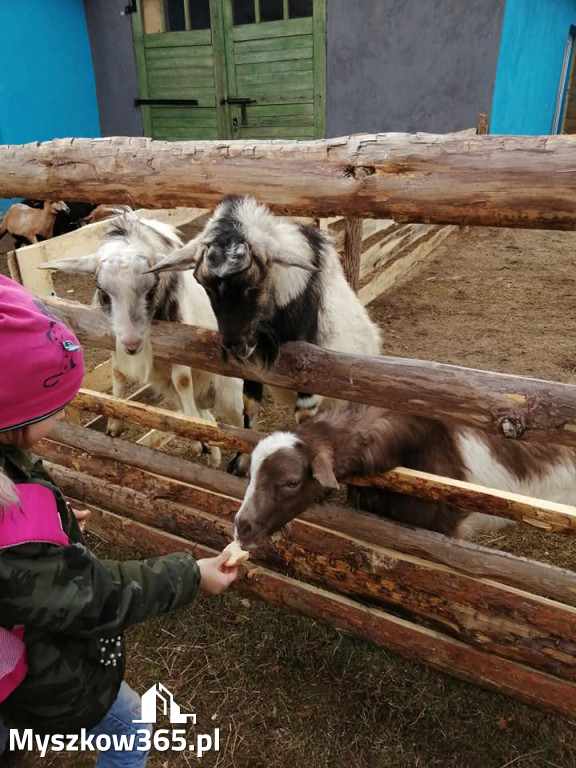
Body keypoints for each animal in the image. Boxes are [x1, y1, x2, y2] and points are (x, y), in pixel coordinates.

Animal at [40, 214, 243, 468]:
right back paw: (213, 456)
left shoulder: (180, 342)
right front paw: (114, 423)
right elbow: (118, 372)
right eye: (100, 287)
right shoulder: (113, 338)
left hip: (231, 392)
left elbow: (182, 380)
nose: (133, 344)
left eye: (153, 285)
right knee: (209, 420)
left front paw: (196, 441)